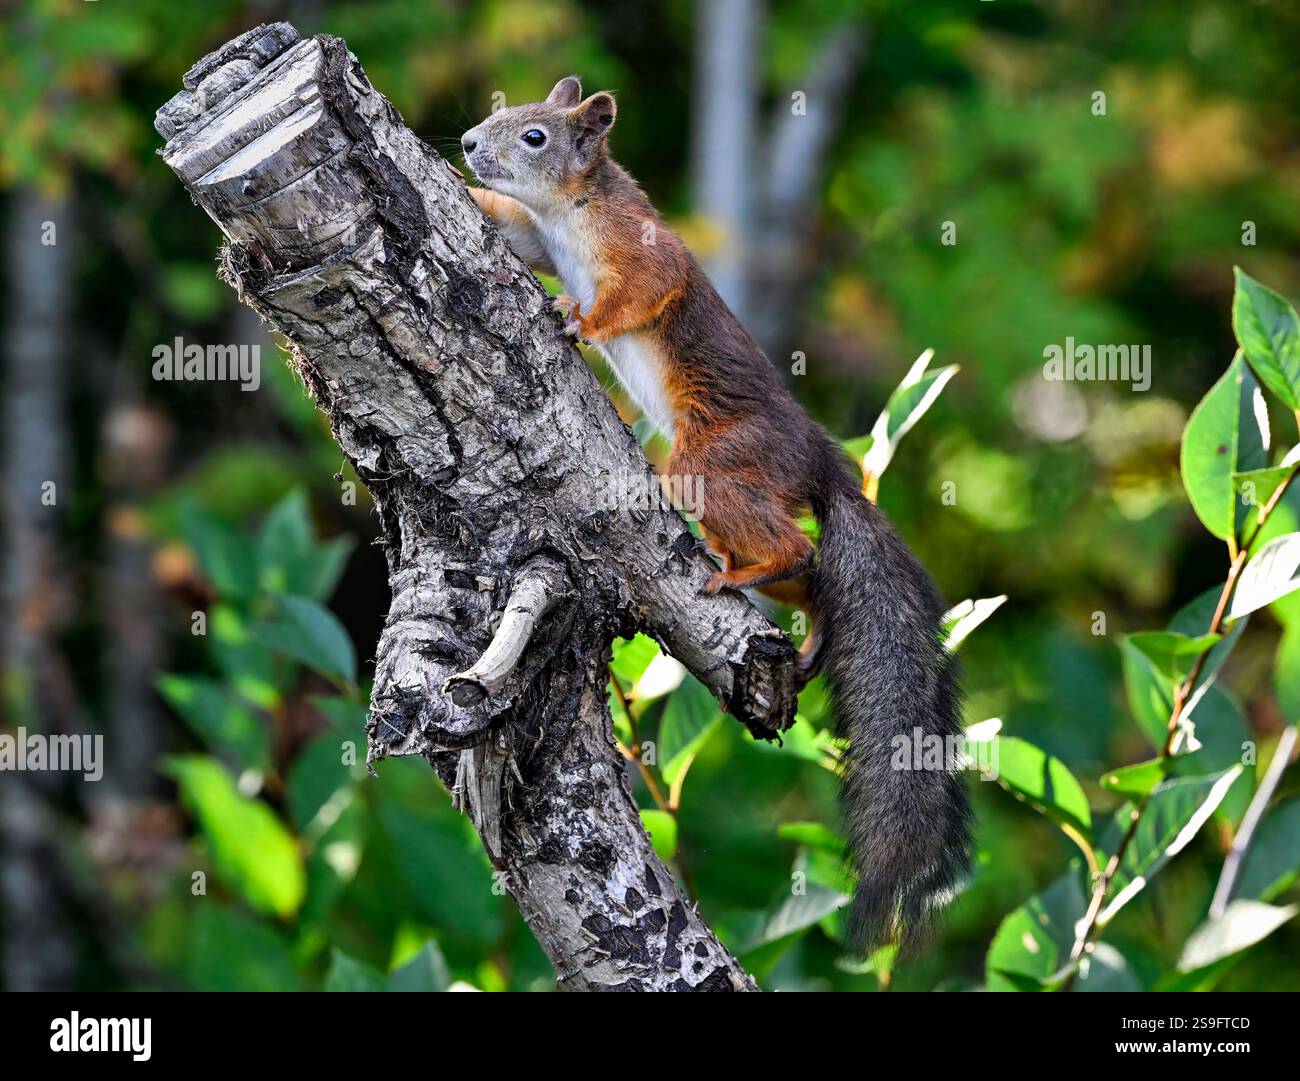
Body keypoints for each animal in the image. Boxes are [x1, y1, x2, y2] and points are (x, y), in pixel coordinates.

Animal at [460, 77, 972, 950]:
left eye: (534, 135)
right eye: (502, 118)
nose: (466, 143)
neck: (574, 207)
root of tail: (823, 467)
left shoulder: (642, 254)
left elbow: (640, 292)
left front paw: (578, 319)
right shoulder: (541, 240)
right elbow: (519, 239)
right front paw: (469, 195)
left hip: (713, 465)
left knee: (799, 550)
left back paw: (748, 570)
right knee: (814, 577)